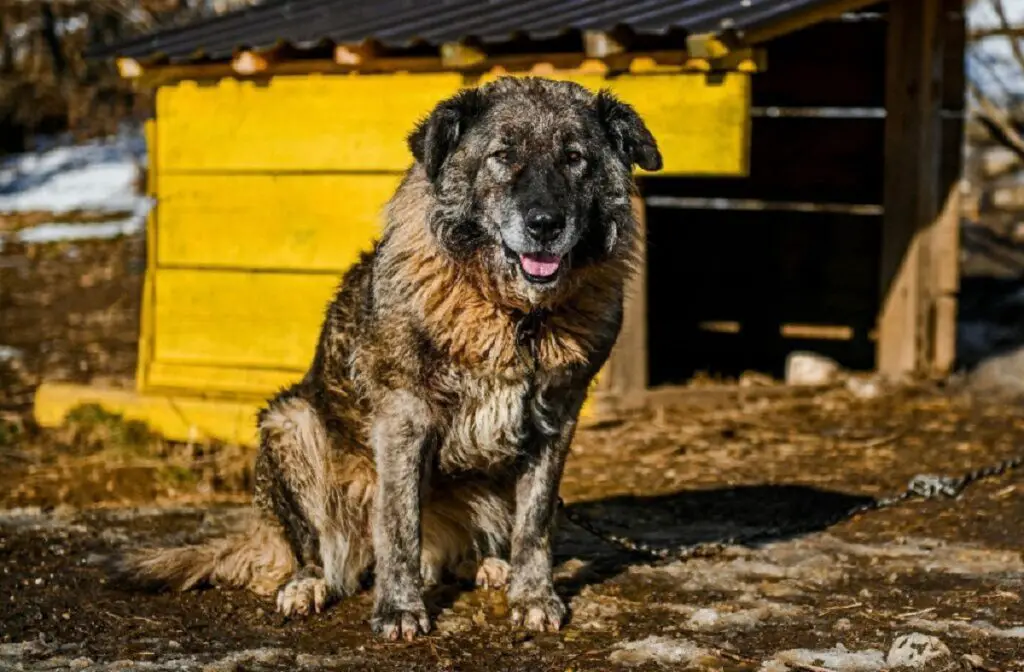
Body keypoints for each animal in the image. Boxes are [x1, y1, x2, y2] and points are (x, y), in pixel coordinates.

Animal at [114, 73, 663, 639]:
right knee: (316, 550)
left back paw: (487, 563)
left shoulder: (555, 419)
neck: (512, 315)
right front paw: (399, 608)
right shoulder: (403, 416)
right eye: (502, 155)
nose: (545, 224)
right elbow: (398, 524)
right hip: (290, 423)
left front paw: (533, 595)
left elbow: (535, 524)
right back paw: (307, 583)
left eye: (575, 158)